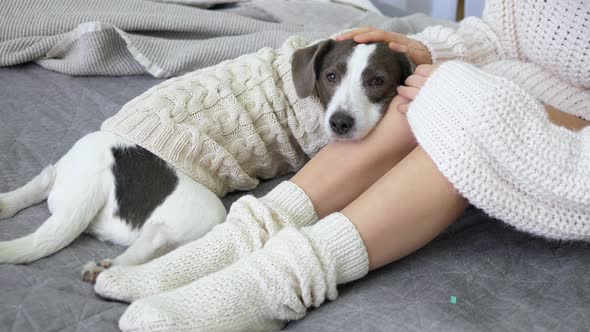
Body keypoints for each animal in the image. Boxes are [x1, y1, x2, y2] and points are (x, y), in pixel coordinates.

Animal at [0, 38, 412, 282]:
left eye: (377, 81)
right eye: (330, 76)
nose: (340, 123)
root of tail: (98, 177)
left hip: (69, 165)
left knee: (43, 179)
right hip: (205, 209)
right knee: (154, 238)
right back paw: (113, 269)